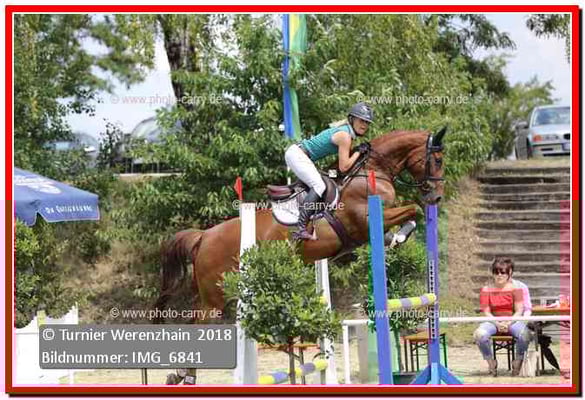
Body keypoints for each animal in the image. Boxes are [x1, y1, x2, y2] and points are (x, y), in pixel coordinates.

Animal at [154, 127, 446, 321]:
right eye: (438, 160)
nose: (436, 197)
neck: (373, 170)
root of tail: (204, 236)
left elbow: (406, 219)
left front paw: (398, 238)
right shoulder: (364, 220)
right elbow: (413, 209)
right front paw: (403, 234)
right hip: (215, 296)